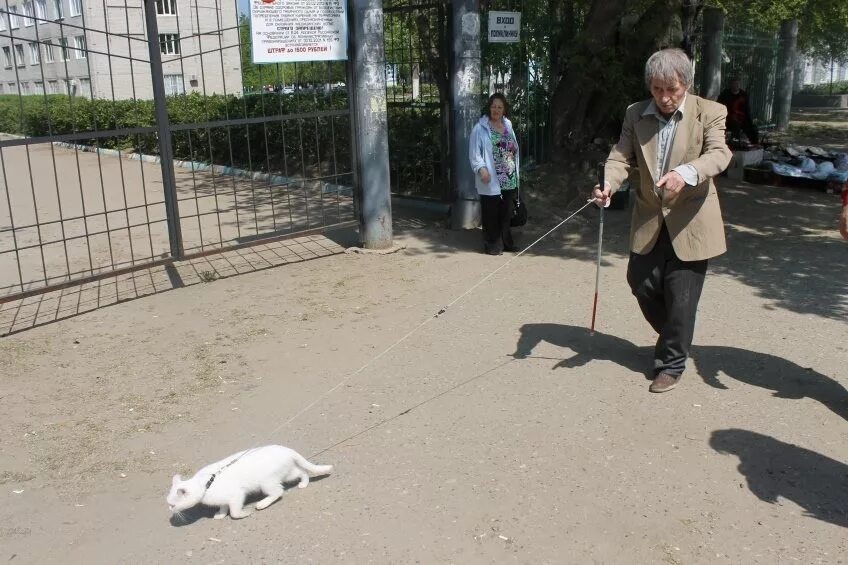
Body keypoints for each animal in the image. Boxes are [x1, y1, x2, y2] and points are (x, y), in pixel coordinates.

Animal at [167, 446, 332, 520]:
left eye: (172, 505)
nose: (169, 510)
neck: (206, 484)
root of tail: (285, 449)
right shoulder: (224, 499)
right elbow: (223, 506)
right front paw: (221, 514)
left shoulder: (236, 495)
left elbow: (234, 512)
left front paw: (243, 513)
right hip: (287, 473)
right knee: (302, 472)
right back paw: (304, 483)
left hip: (267, 482)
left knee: (278, 492)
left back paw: (262, 504)